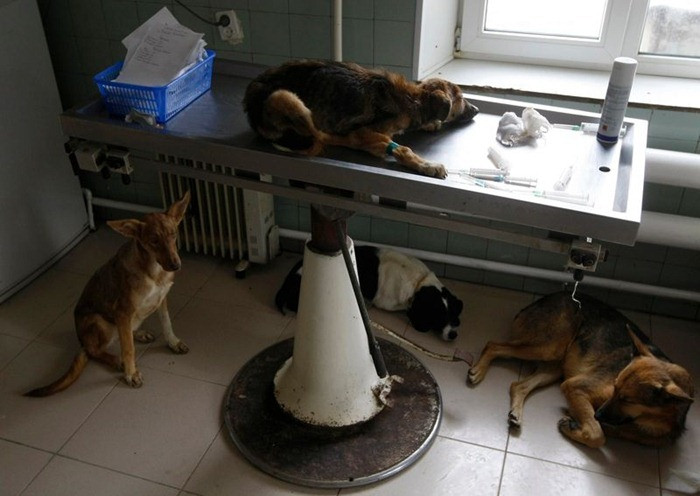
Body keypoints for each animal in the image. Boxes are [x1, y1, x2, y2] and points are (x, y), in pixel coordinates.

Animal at [26, 192, 191, 398]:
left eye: (173, 234)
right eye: (154, 240)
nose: (176, 266)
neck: (153, 271)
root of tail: (82, 340)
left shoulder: (161, 299)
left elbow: (166, 323)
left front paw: (173, 343)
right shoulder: (122, 310)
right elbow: (128, 348)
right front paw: (130, 373)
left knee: (124, 332)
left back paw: (139, 333)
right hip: (99, 322)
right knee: (96, 350)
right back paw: (117, 360)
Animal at [243, 58, 478, 178]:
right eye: (460, 98)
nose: (476, 109)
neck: (413, 100)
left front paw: (433, 124)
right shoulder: (363, 131)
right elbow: (403, 148)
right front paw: (427, 165)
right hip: (285, 97)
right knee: (319, 136)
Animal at [468, 292, 692, 448]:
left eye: (628, 400)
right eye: (615, 387)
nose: (599, 414)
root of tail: (543, 299)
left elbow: (604, 429)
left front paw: (577, 423)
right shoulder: (575, 386)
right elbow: (597, 435)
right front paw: (574, 426)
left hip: (555, 366)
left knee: (518, 385)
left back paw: (516, 414)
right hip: (549, 348)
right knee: (493, 345)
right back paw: (478, 371)